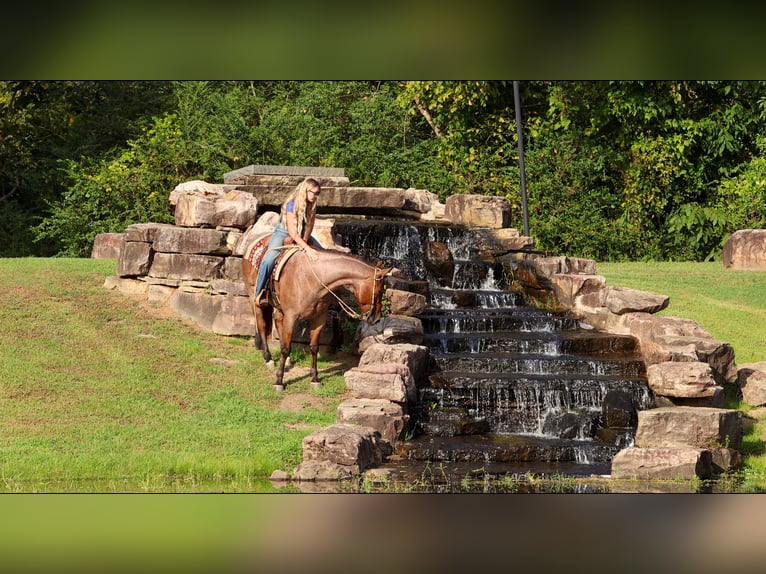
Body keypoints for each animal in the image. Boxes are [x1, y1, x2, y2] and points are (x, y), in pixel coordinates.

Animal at [242, 236, 392, 391]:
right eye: (379, 291)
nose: (376, 318)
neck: (311, 279)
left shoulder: (319, 319)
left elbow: (313, 348)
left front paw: (314, 378)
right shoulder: (291, 317)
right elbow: (285, 349)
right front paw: (279, 381)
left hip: (279, 307)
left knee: (277, 321)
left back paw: (287, 360)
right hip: (255, 298)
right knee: (262, 325)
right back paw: (268, 358)